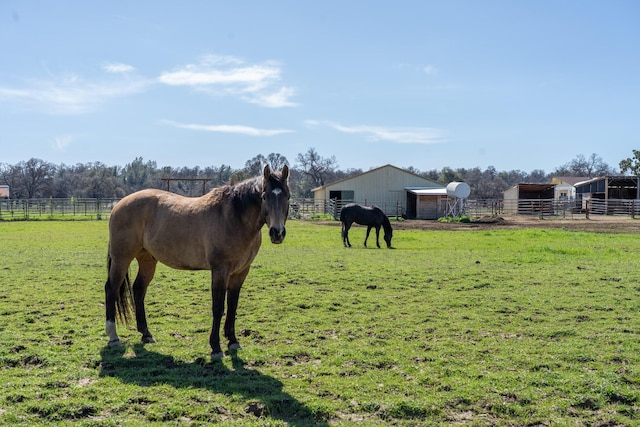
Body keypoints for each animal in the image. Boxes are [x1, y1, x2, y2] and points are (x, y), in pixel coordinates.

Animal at [103, 166, 290, 360]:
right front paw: (216, 348)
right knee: (111, 289)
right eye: (264, 196)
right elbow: (218, 307)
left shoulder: (241, 272)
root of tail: (119, 205)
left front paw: (233, 341)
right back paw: (113, 337)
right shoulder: (220, 270)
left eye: (288, 196)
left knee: (138, 289)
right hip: (121, 259)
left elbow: (232, 306)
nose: (277, 233)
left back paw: (146, 334)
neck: (233, 217)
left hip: (147, 260)